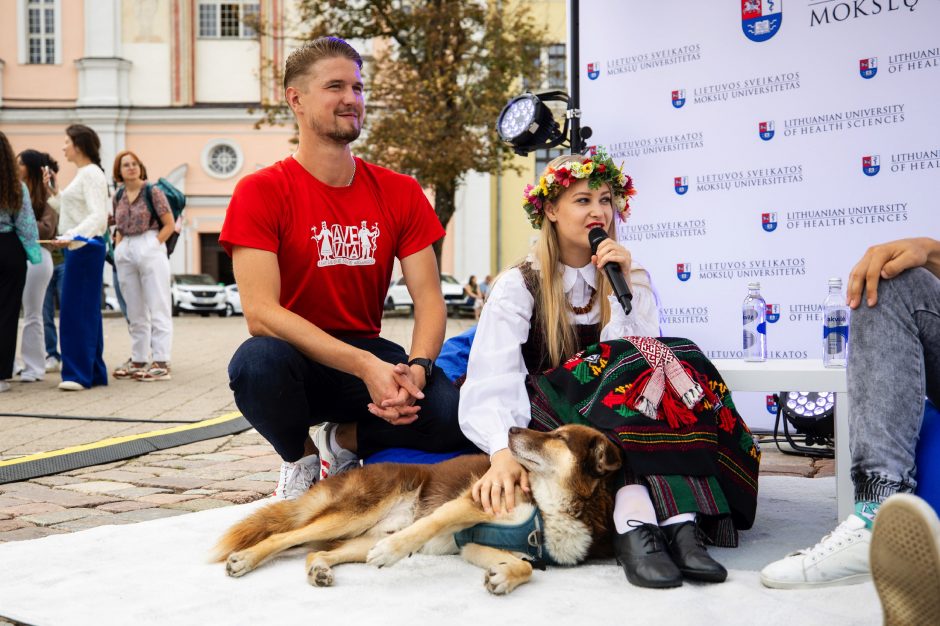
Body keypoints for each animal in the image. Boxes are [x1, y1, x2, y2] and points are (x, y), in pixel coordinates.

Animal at [213, 422, 624, 592]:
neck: (548, 505)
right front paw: (394, 552)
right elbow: (429, 524)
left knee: (320, 552)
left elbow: (525, 568)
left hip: (363, 537)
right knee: (285, 536)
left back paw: (320, 570)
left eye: (560, 438)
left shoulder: (477, 546)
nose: (509, 430)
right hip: (353, 514)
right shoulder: (470, 503)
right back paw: (244, 559)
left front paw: (503, 578)